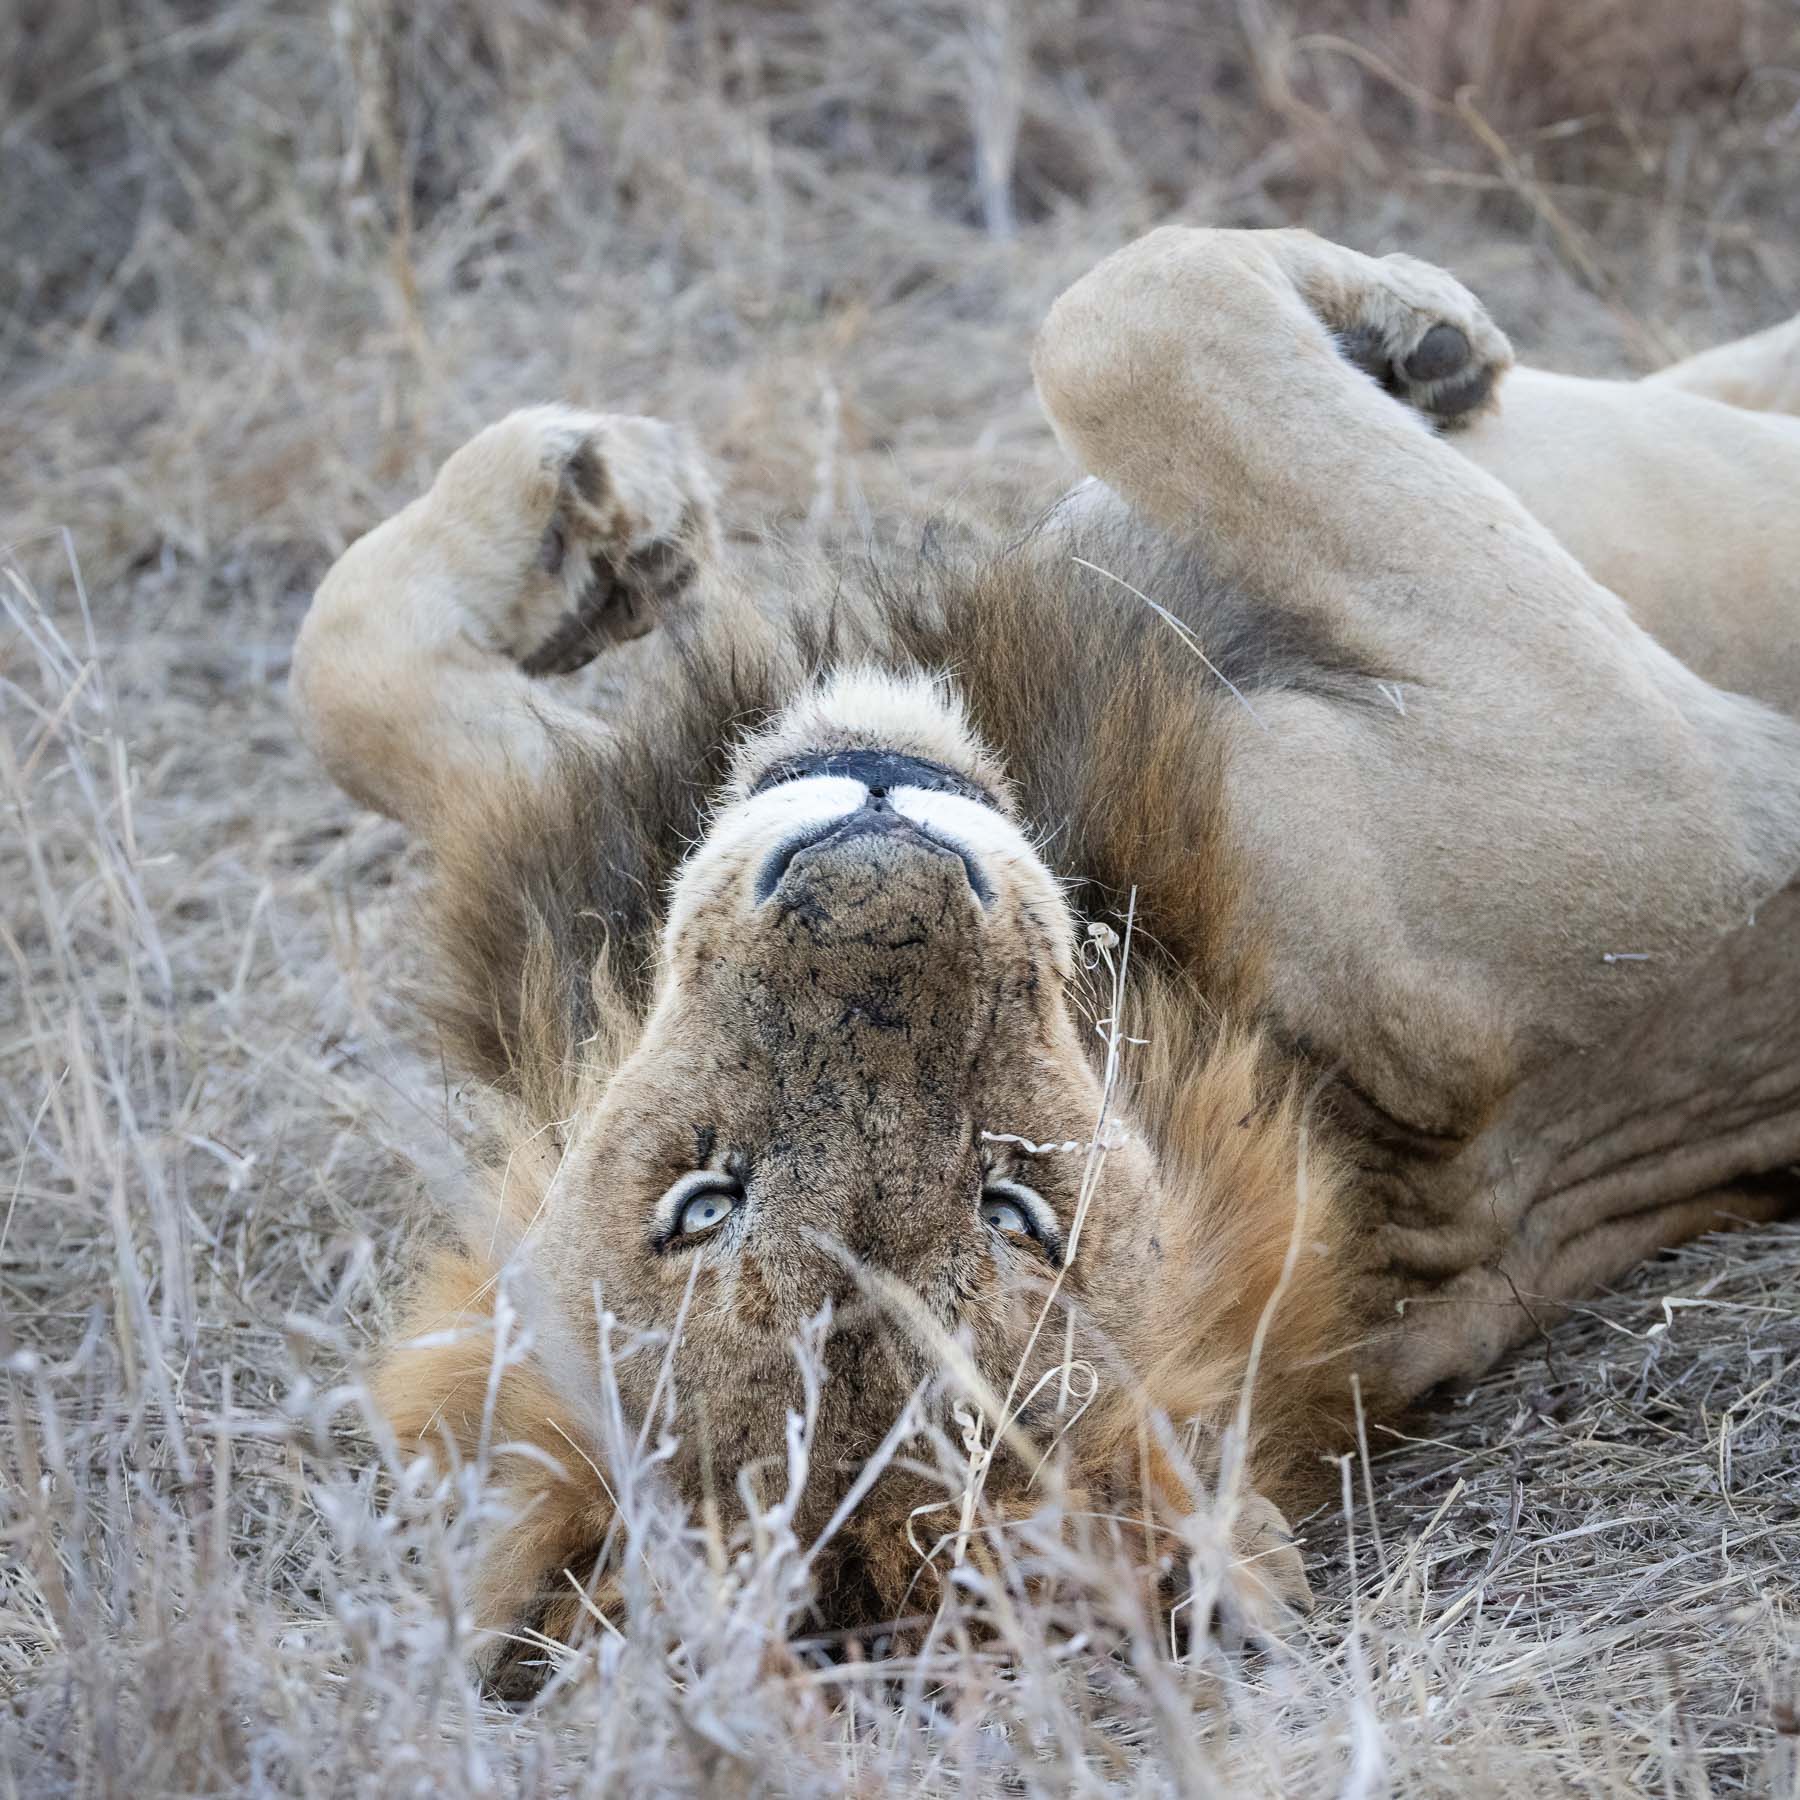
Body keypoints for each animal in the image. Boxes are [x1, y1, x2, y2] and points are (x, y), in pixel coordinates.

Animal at [291, 227, 1800, 1687]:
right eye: (708, 1205)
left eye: (1012, 1204)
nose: (871, 873)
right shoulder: (1694, 794)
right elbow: (1129, 313)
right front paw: (1414, 323)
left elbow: (347, 661)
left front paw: (603, 502)